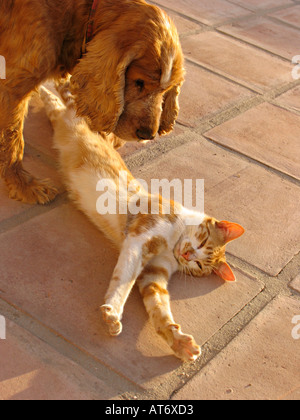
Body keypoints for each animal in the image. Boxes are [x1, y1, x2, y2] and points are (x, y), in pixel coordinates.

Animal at [0, 0, 185, 203]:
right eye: (139, 82)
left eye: (165, 90)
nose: (147, 135)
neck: (82, 13)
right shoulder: (12, 87)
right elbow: (12, 139)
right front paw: (23, 184)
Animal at [38, 82, 244, 360]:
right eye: (202, 243)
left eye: (200, 265)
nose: (187, 255)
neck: (172, 245)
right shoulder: (140, 238)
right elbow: (124, 279)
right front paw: (112, 313)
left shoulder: (153, 276)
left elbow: (160, 310)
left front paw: (180, 343)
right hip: (76, 115)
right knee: (65, 95)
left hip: (61, 121)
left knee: (55, 107)